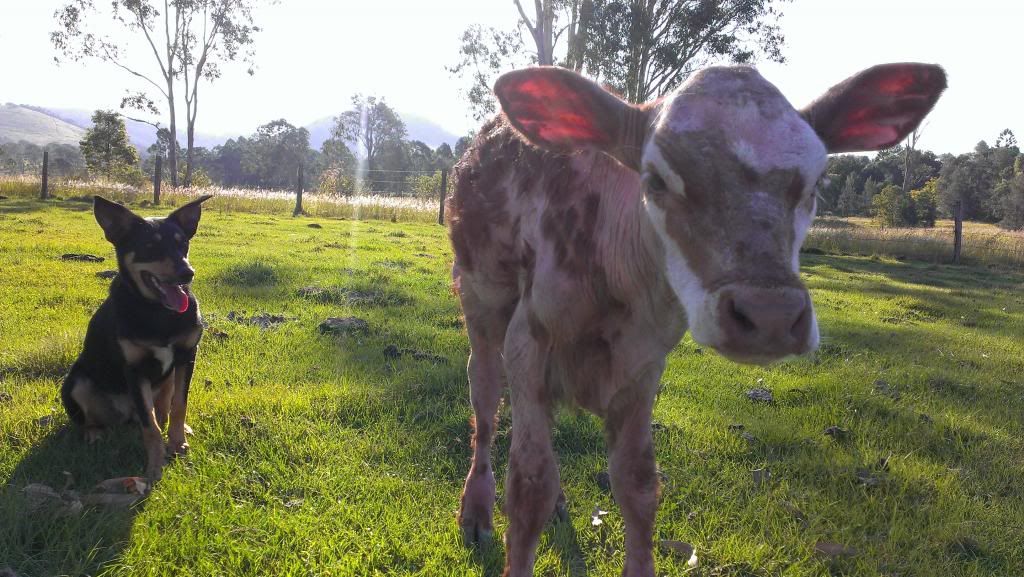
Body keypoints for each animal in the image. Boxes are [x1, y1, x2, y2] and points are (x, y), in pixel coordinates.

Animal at [447, 63, 946, 576]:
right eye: (656, 180)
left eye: (816, 183)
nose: (770, 314)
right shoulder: (529, 345)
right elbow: (529, 487)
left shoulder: (644, 365)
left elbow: (638, 484)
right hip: (480, 302)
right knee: (485, 400)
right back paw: (476, 509)